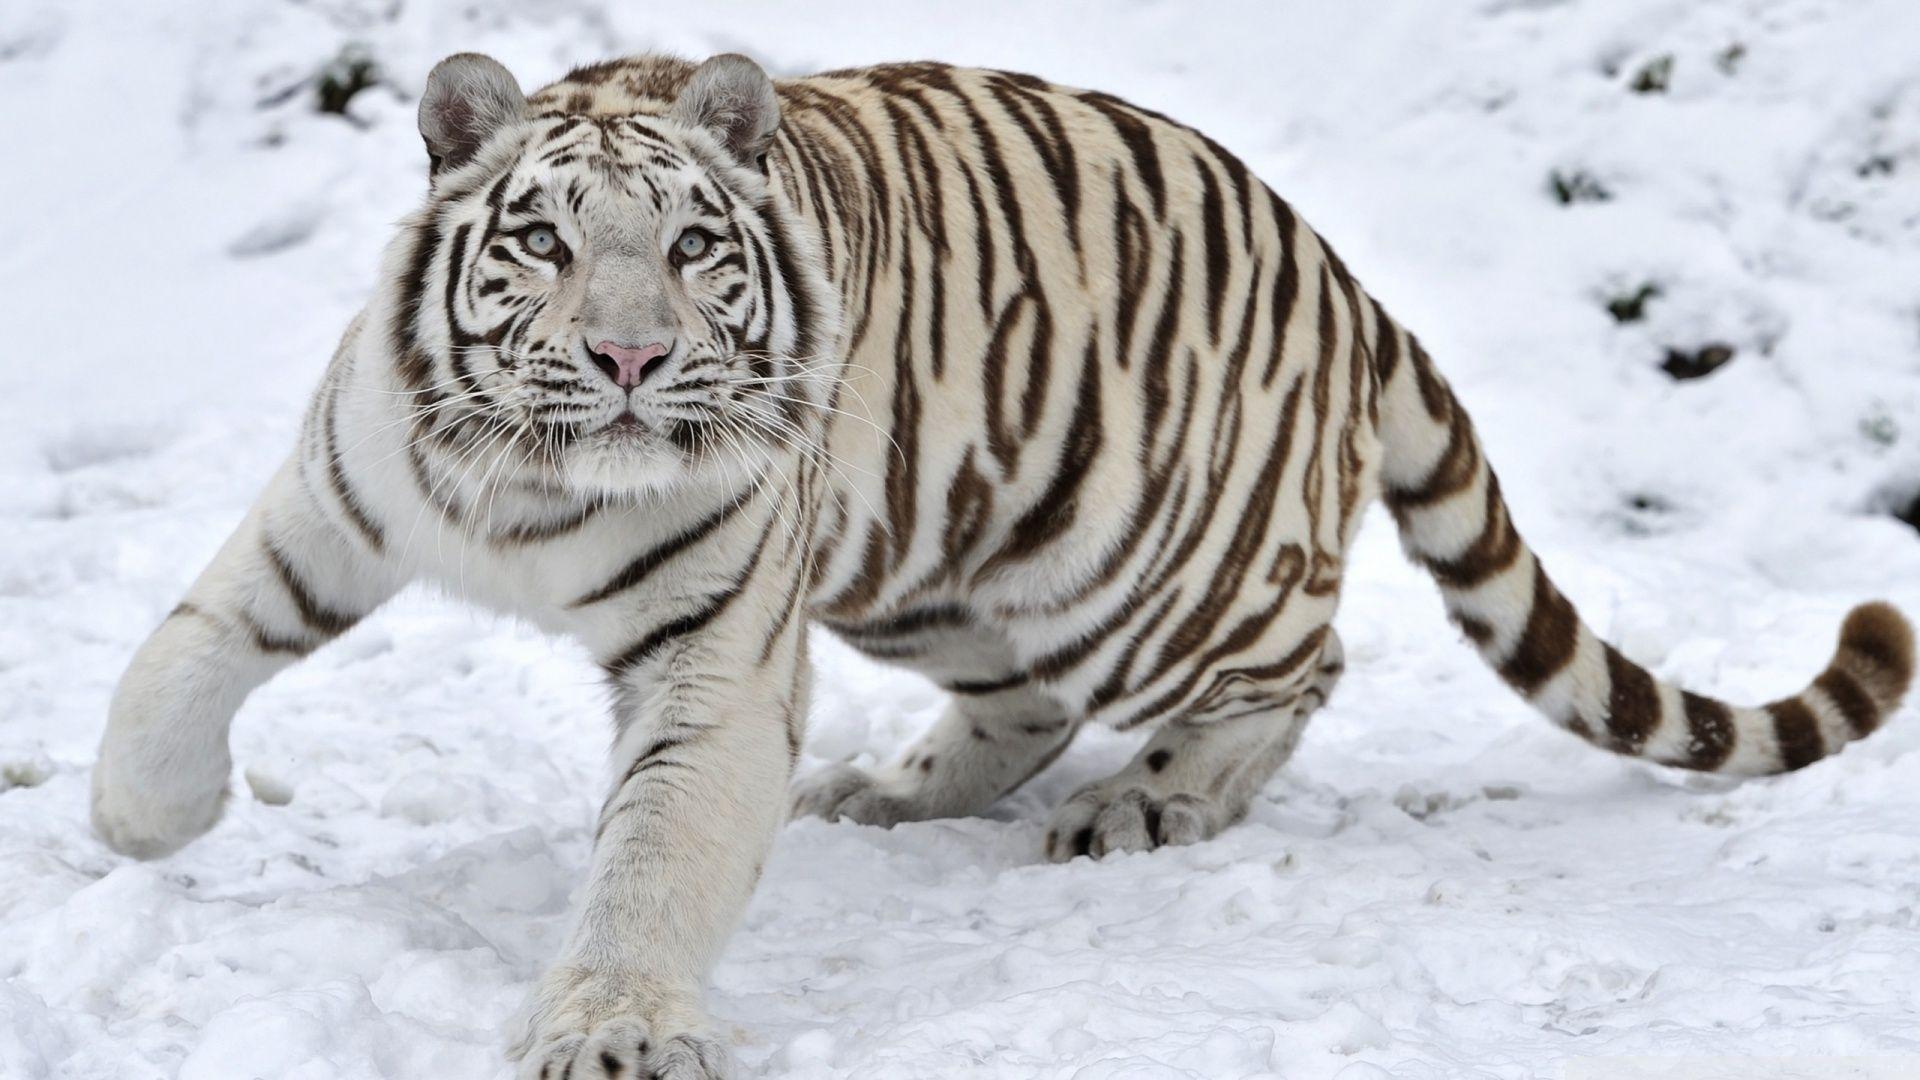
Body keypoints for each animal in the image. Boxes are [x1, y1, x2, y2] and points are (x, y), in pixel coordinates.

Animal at [88, 50, 1913, 1078]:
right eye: (539, 240)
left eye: (690, 246)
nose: (625, 359)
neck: (536, 490)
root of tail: (1345, 277)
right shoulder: (339, 499)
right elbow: (186, 645)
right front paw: (141, 822)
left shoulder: (716, 660)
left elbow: (652, 858)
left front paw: (611, 1026)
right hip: (944, 563)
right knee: (1023, 703)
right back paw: (897, 794)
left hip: (1151, 570)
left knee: (1303, 662)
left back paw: (1145, 809)